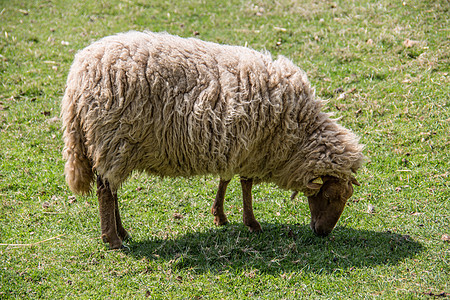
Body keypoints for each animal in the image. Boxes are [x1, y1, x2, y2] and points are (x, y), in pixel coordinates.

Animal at [62, 31, 366, 250]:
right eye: (328, 195)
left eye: (346, 198)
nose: (323, 233)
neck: (298, 129)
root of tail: (77, 77)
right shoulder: (252, 145)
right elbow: (245, 184)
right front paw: (251, 222)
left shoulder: (237, 144)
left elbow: (227, 179)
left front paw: (220, 215)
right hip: (112, 139)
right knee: (105, 190)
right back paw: (112, 240)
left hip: (114, 146)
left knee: (110, 188)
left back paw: (122, 232)